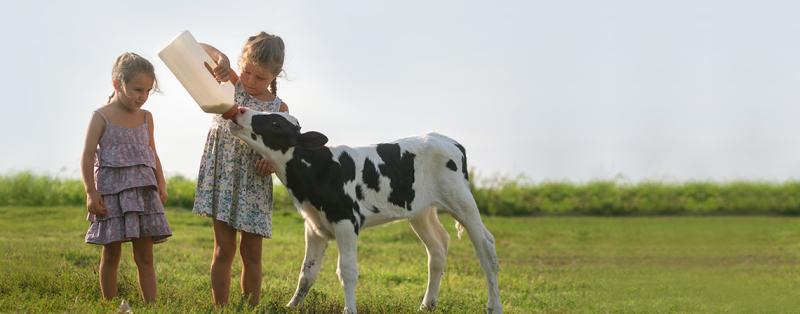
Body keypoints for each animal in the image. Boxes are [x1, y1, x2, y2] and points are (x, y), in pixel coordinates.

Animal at [228, 109, 500, 312]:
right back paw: (427, 305)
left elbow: (347, 271)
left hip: (461, 201)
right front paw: (291, 306)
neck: (317, 169)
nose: (240, 109)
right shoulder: (314, 225)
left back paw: (493, 306)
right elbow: (307, 272)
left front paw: (349, 310)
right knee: (437, 248)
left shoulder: (346, 221)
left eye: (275, 122)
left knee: (486, 248)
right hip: (420, 211)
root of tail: (447, 140)